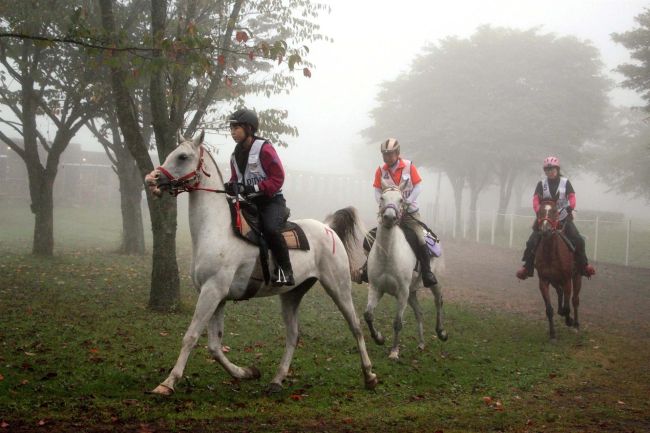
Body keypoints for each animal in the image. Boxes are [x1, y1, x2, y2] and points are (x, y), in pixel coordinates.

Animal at [142, 131, 374, 392]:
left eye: (182, 156)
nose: (152, 179)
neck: (217, 230)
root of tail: (327, 227)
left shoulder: (212, 292)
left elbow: (190, 336)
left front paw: (168, 383)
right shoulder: (217, 296)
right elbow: (214, 346)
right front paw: (246, 372)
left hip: (338, 287)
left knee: (355, 326)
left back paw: (369, 376)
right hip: (291, 294)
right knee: (293, 335)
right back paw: (277, 380)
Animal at [330, 185, 446, 358]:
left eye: (401, 200)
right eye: (382, 198)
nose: (389, 217)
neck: (388, 255)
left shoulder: (402, 292)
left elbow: (397, 323)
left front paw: (394, 351)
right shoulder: (376, 288)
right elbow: (368, 314)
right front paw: (379, 338)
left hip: (433, 284)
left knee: (438, 301)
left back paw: (441, 332)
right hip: (412, 292)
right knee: (419, 312)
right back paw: (421, 343)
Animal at [536, 199, 580, 338]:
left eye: (555, 211)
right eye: (539, 211)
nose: (546, 230)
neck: (550, 254)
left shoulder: (567, 280)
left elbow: (567, 306)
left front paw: (569, 320)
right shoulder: (544, 281)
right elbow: (549, 309)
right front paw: (552, 334)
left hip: (576, 277)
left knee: (575, 300)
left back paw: (576, 324)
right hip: (554, 280)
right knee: (560, 292)